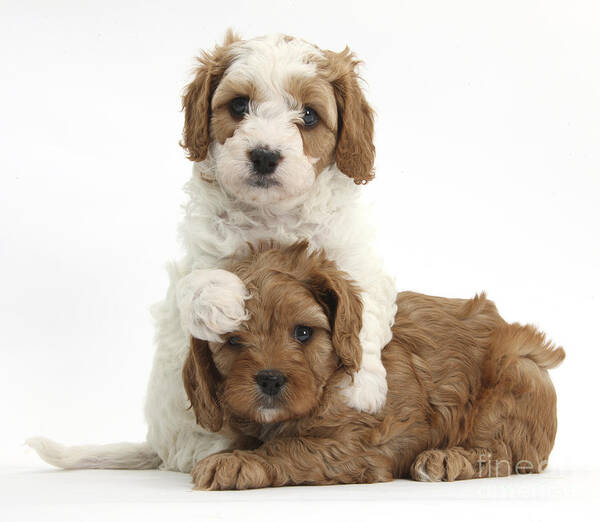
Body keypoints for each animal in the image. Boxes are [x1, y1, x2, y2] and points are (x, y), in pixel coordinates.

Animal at [183, 242, 564, 490]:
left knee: (503, 452)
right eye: (233, 341)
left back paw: (447, 459)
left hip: (515, 374)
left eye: (303, 332)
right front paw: (233, 451)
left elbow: (293, 447)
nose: (270, 380)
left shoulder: (358, 445)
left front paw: (237, 462)